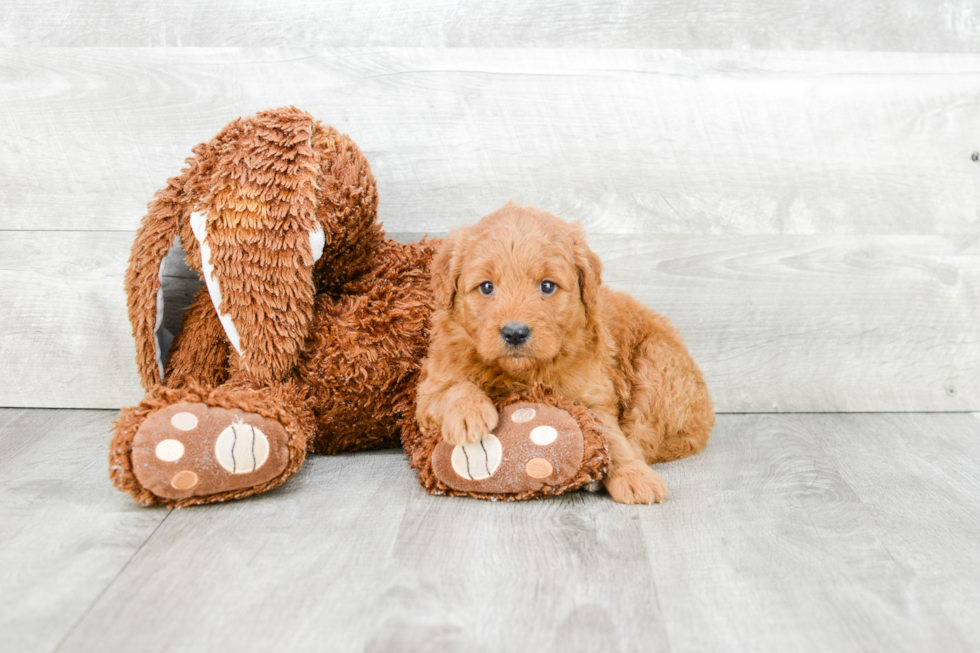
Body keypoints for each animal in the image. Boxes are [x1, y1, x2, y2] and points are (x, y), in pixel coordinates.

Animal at [414, 204, 712, 504]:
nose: (514, 333)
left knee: (643, 434)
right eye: (486, 287)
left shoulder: (594, 396)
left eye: (547, 286)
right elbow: (454, 387)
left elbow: (612, 438)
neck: (523, 372)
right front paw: (470, 415)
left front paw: (632, 475)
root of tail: (706, 415)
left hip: (657, 366)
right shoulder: (430, 388)